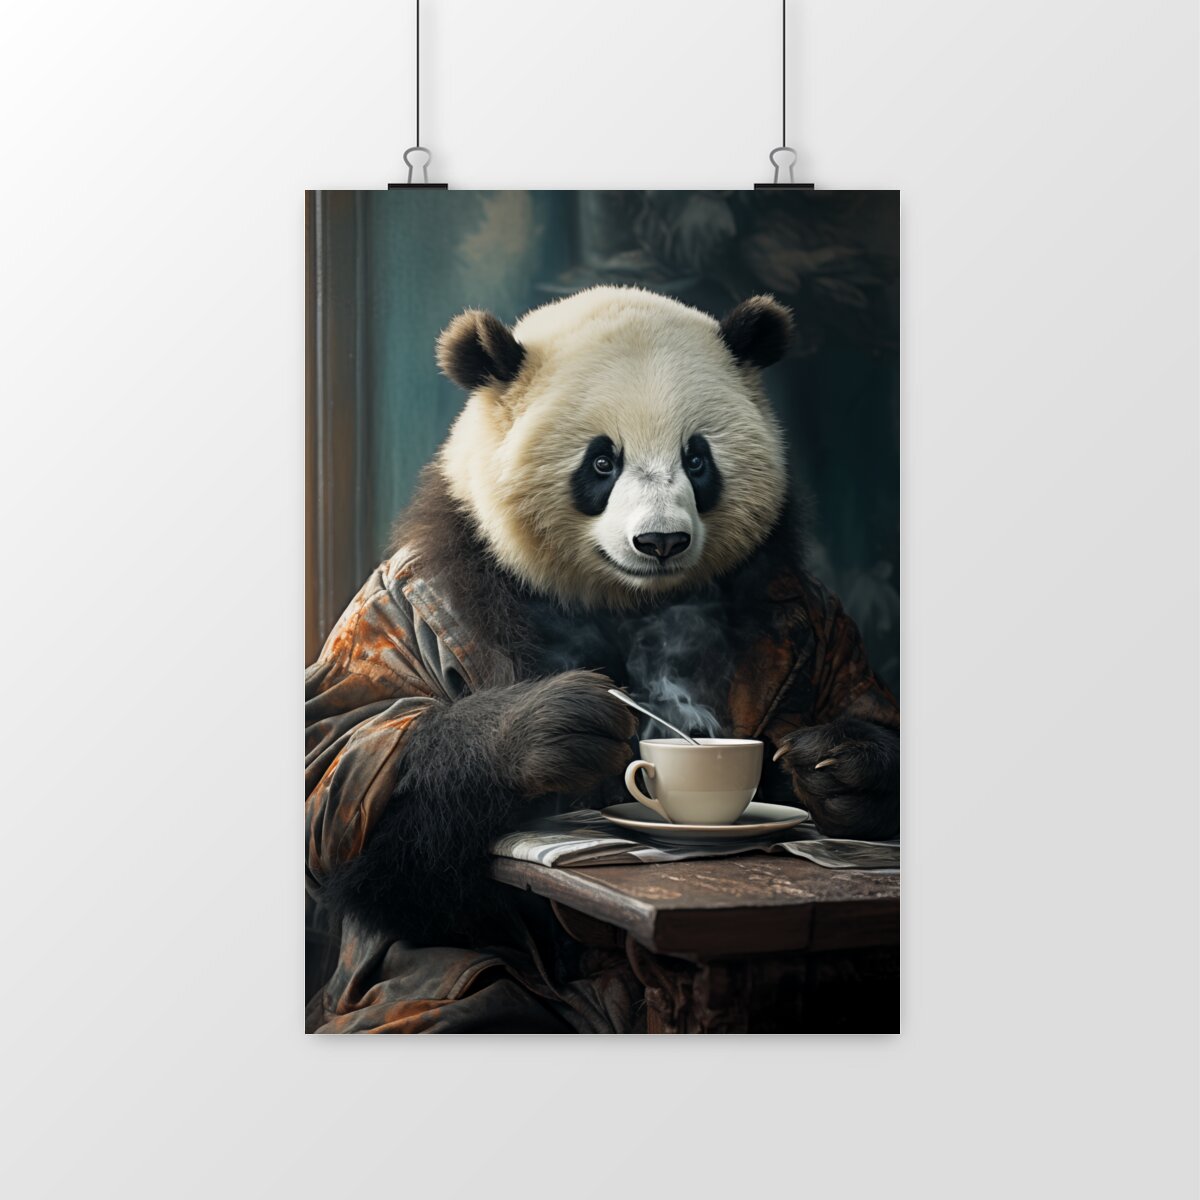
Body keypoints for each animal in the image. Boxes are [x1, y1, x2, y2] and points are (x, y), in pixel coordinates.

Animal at [305, 285, 899, 1031]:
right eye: (601, 462)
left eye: (697, 459)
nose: (661, 542)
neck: (623, 600)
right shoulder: (427, 584)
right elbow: (342, 764)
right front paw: (555, 726)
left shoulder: (801, 605)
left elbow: (866, 711)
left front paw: (838, 769)